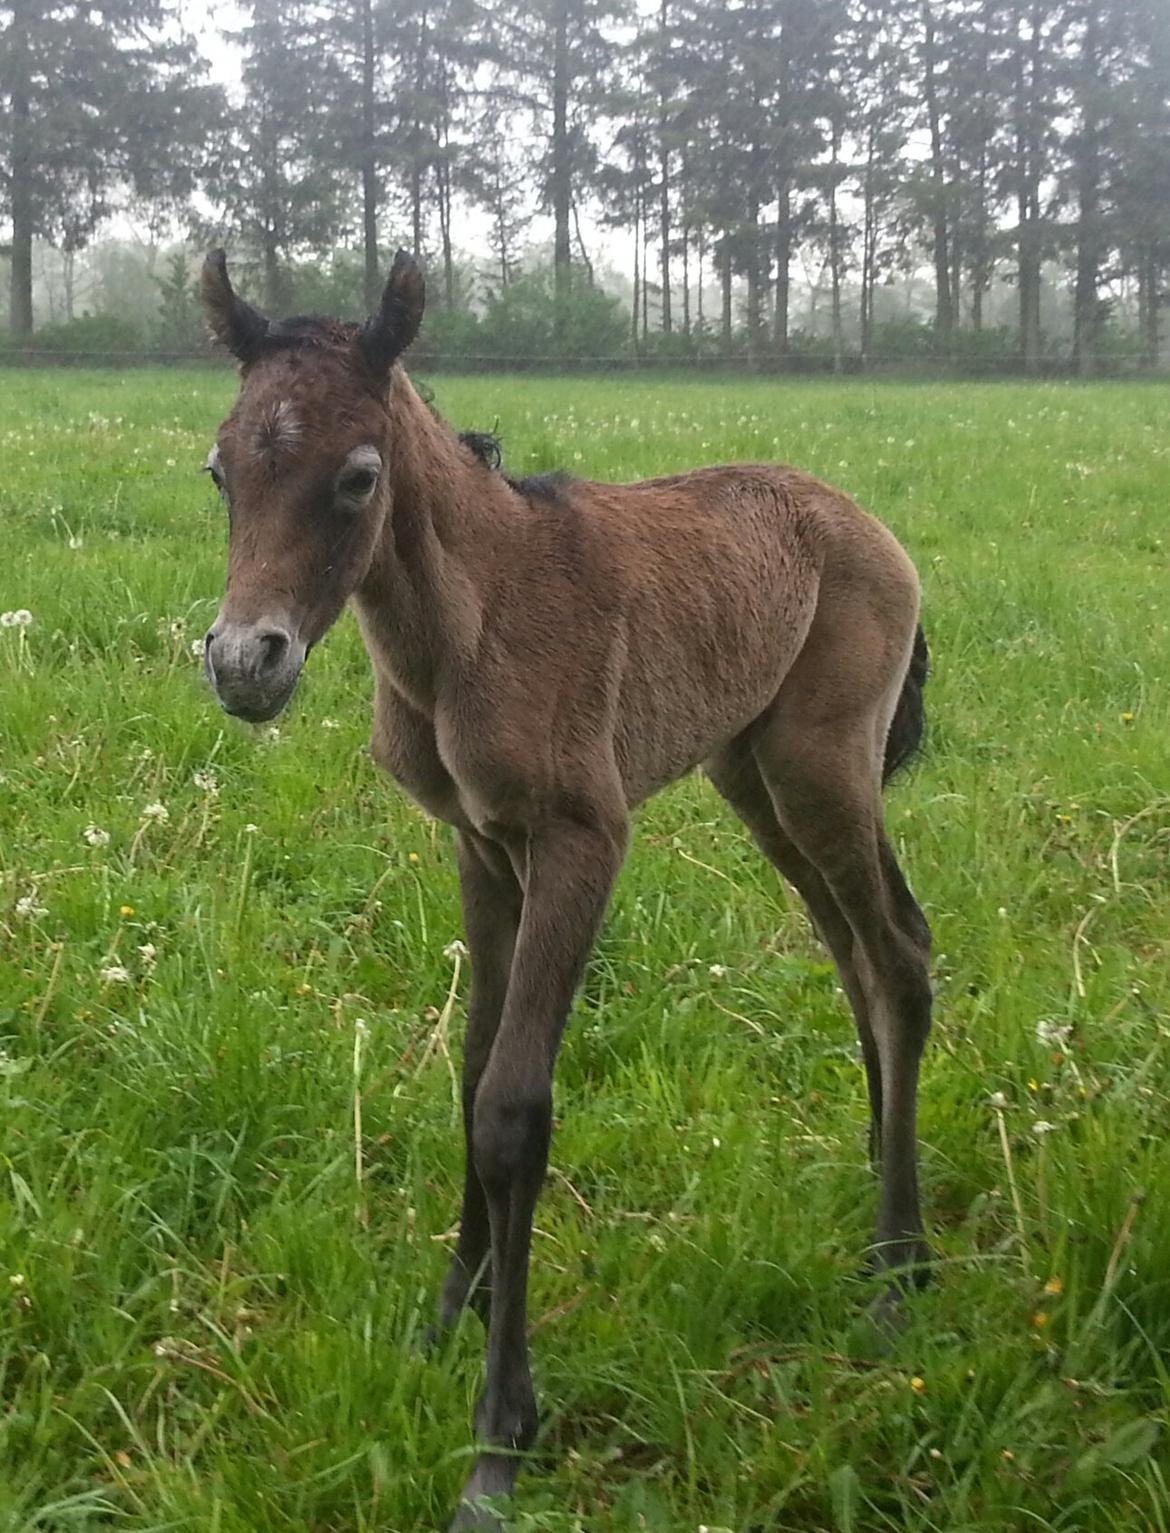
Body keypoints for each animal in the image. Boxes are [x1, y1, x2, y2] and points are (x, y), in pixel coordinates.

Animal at [199, 251, 932, 1533]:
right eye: (221, 468)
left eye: (357, 477)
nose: (246, 665)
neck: (470, 623)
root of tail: (866, 524)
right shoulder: (480, 848)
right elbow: (467, 1072)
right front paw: (449, 1318)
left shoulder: (583, 841)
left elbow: (513, 1109)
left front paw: (499, 1441)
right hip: (755, 777)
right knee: (853, 953)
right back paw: (887, 1213)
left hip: (823, 767)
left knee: (896, 953)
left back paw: (898, 1274)